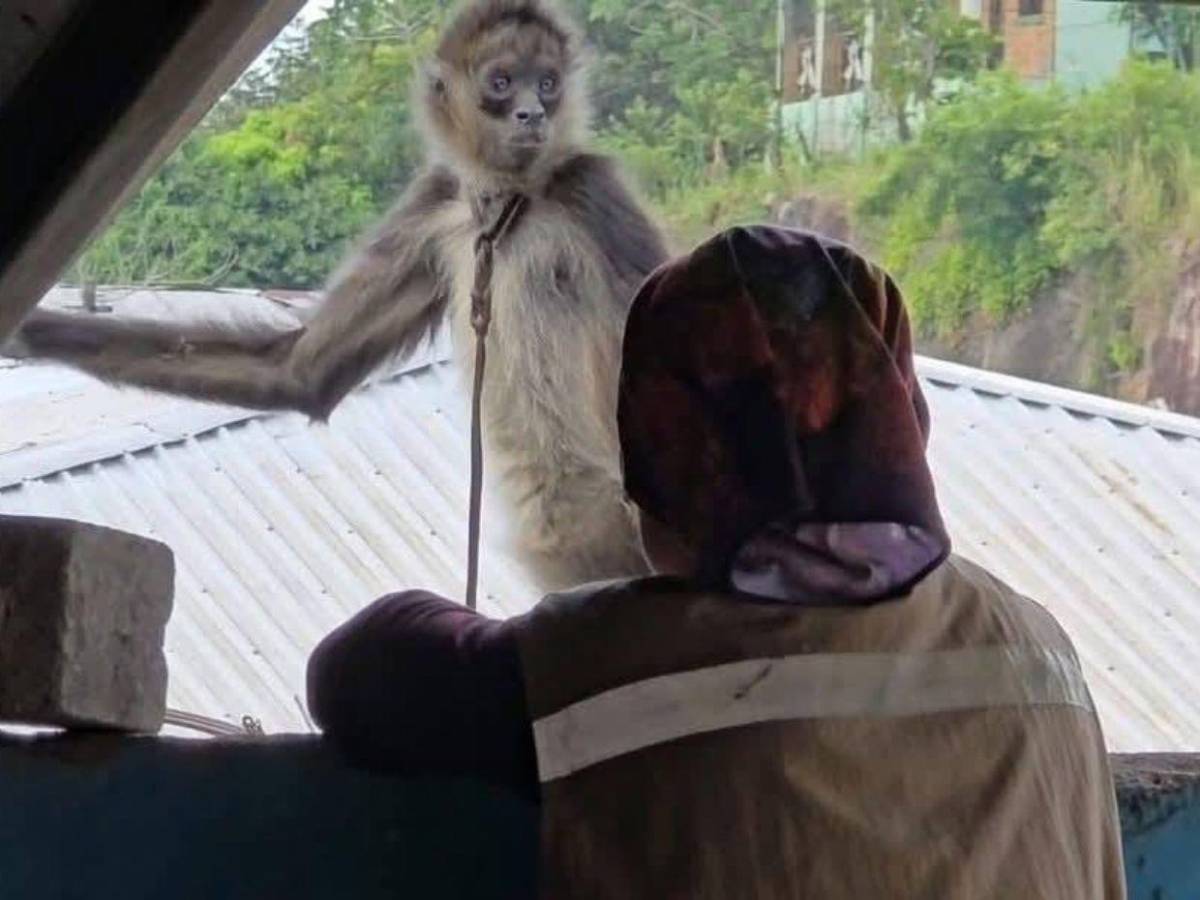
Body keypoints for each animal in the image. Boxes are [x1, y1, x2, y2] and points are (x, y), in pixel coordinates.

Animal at [3, 0, 670, 591]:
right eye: (503, 83)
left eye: (548, 83)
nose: (532, 113)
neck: (505, 201)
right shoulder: (435, 203)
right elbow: (300, 371)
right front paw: (28, 333)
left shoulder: (589, 187)